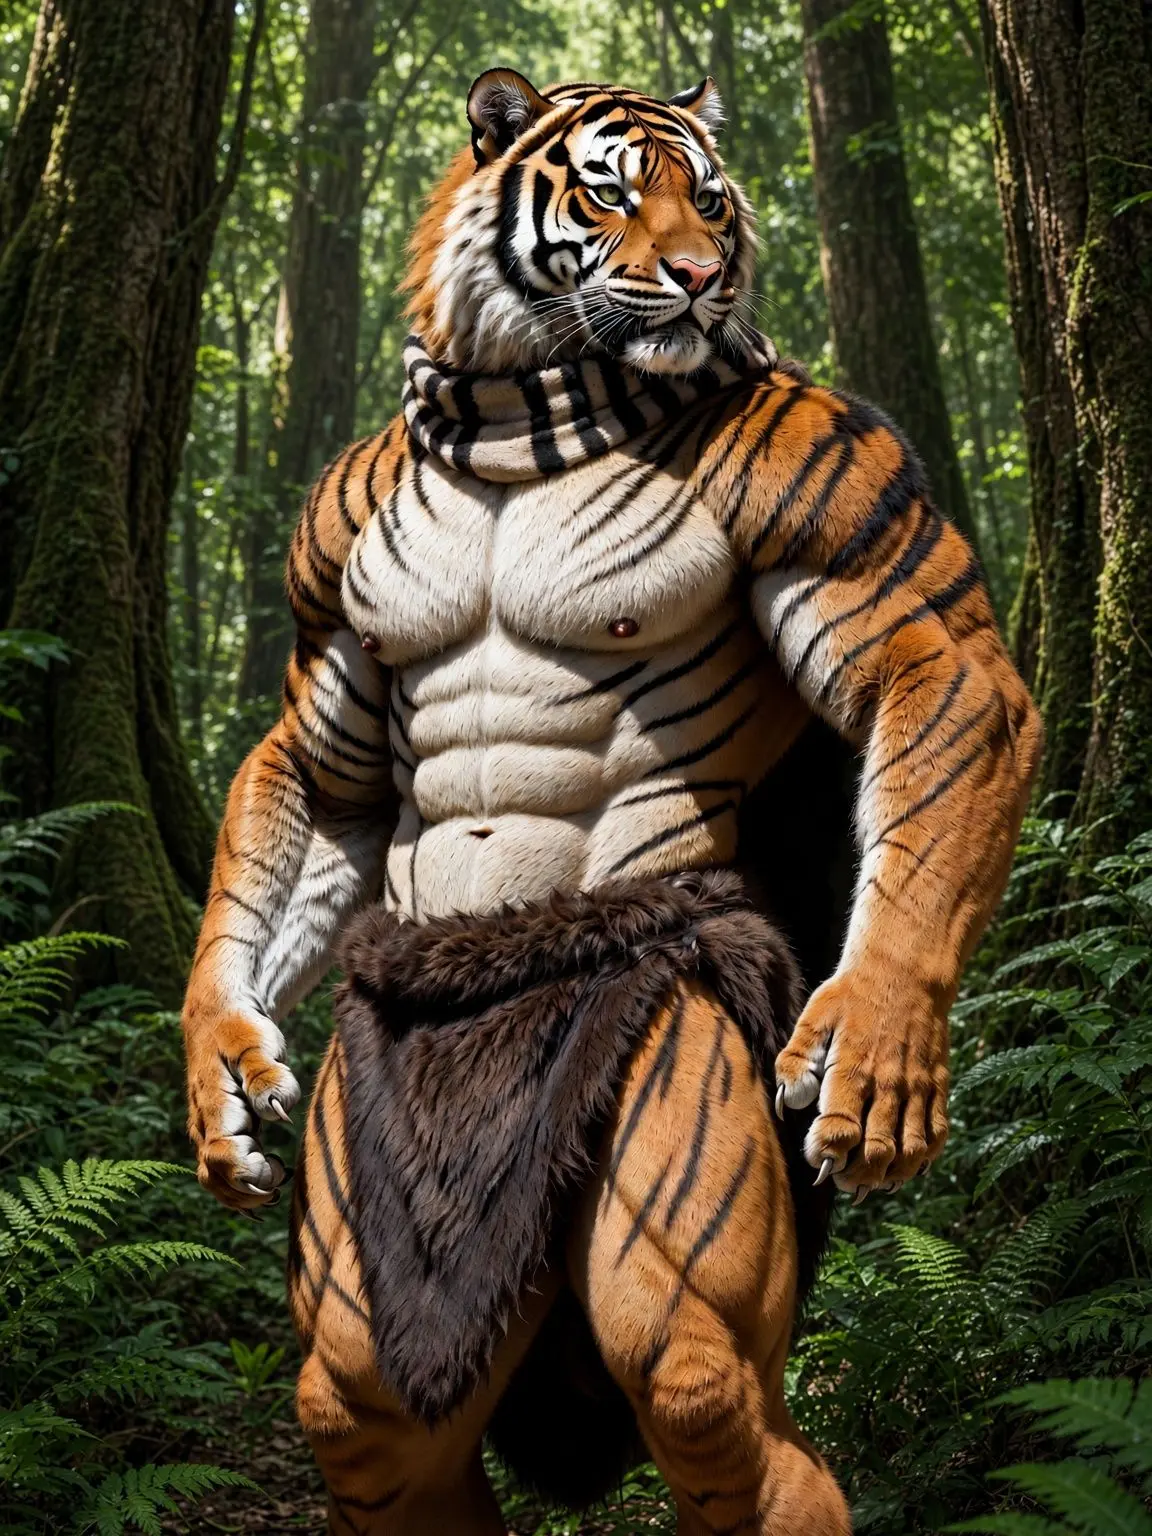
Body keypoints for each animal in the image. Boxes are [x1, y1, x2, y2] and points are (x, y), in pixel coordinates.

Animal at [181, 68, 1042, 1535]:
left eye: (712, 202)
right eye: (610, 192)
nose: (699, 278)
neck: (508, 427)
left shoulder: (836, 486)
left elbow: (937, 669)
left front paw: (874, 1032)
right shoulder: (324, 583)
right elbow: (317, 771)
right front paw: (222, 1068)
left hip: (672, 1167)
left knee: (704, 1389)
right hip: (366, 1283)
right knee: (362, 1406)